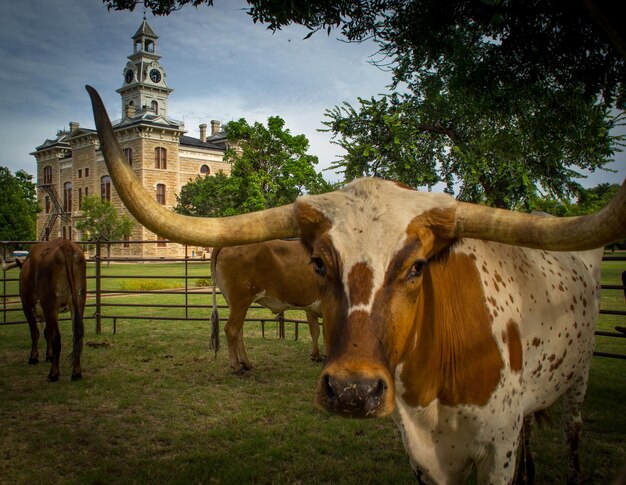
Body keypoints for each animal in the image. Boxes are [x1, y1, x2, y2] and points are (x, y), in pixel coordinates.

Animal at [1, 238, 86, 382]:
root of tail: (65, 244)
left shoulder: (27, 307)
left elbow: (35, 333)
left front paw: (34, 357)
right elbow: (47, 332)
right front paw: (49, 355)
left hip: (50, 303)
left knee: (57, 338)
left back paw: (54, 373)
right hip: (78, 300)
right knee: (77, 334)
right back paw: (76, 372)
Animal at [212, 238, 324, 370]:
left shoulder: (311, 307)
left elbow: (315, 331)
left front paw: (316, 356)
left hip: (235, 304)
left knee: (239, 331)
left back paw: (246, 363)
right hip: (240, 301)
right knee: (231, 329)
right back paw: (236, 366)